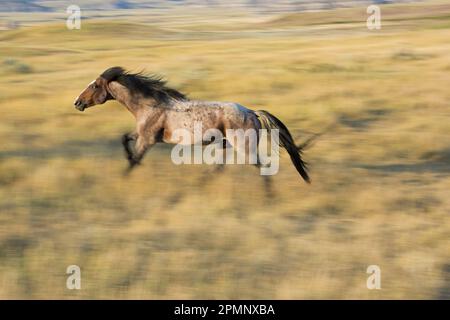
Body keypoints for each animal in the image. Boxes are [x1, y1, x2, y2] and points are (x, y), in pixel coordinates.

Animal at [74, 66, 312, 182]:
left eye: (95, 85)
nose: (77, 102)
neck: (149, 104)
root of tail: (252, 112)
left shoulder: (147, 140)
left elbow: (134, 161)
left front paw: (125, 177)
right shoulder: (142, 134)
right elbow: (124, 138)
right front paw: (128, 158)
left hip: (244, 147)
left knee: (261, 167)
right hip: (225, 144)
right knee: (219, 168)